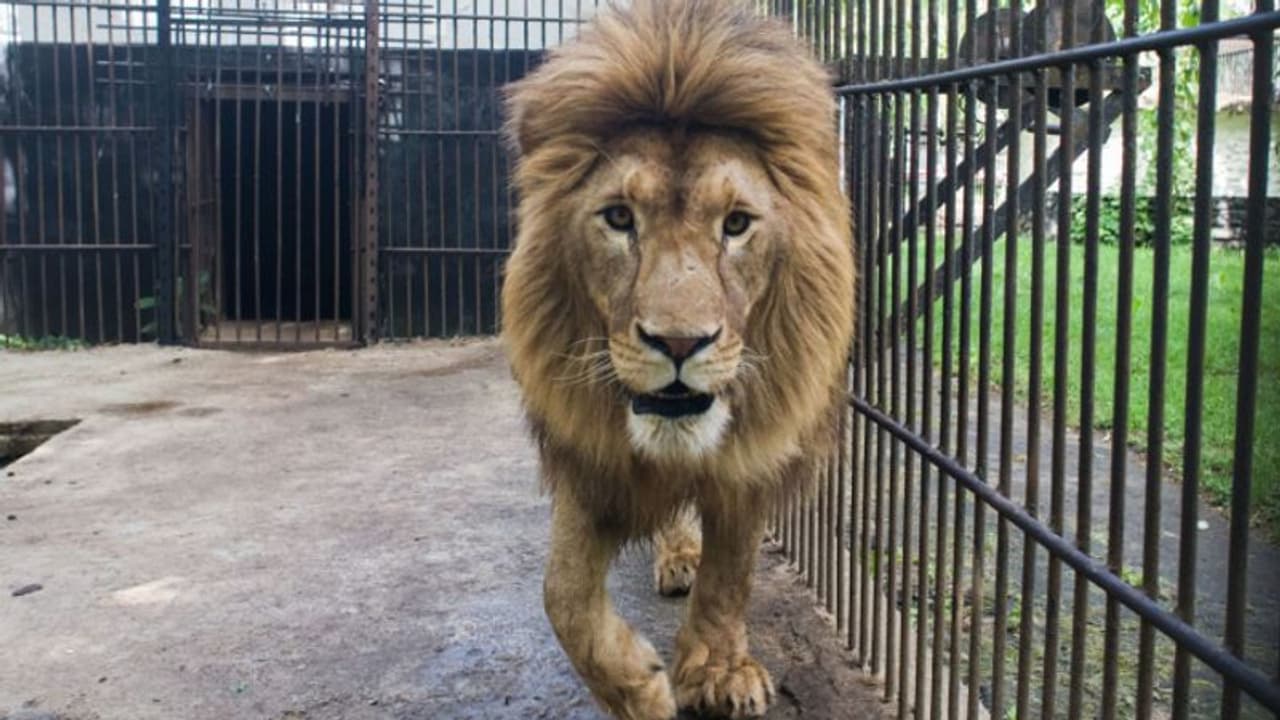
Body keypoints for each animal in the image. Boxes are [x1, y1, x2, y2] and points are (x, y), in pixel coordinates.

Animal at [500, 0, 855, 717]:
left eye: (737, 224)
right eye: (618, 217)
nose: (681, 343)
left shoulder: (752, 458)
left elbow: (730, 574)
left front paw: (717, 672)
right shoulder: (590, 456)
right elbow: (564, 594)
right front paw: (638, 687)